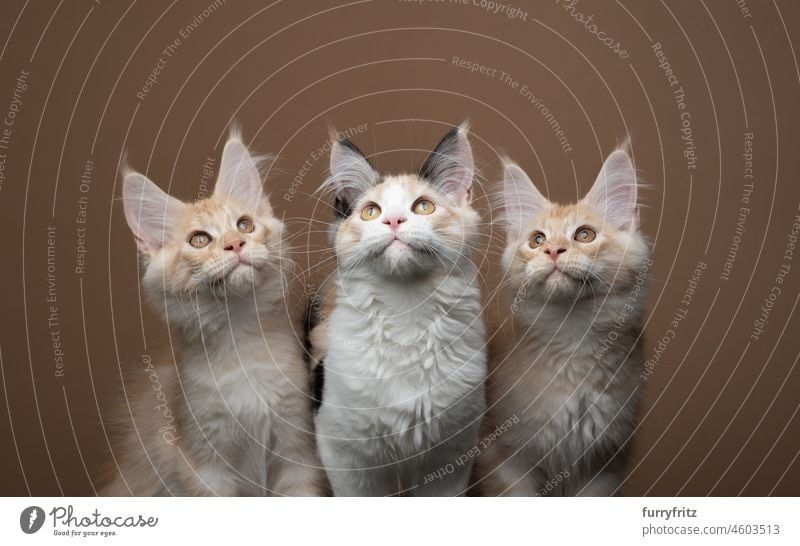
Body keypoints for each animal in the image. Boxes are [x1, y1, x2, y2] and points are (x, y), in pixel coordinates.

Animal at [103, 131, 324, 492]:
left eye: (245, 225)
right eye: (199, 240)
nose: (235, 244)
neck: (240, 343)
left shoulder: (297, 449)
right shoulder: (203, 463)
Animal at [312, 125, 488, 496]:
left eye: (423, 207)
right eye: (370, 212)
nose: (393, 220)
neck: (405, 309)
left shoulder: (451, 455)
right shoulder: (344, 455)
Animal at [476, 147, 648, 496]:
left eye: (585, 235)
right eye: (537, 240)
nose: (554, 250)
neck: (573, 334)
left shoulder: (605, 464)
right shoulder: (504, 457)